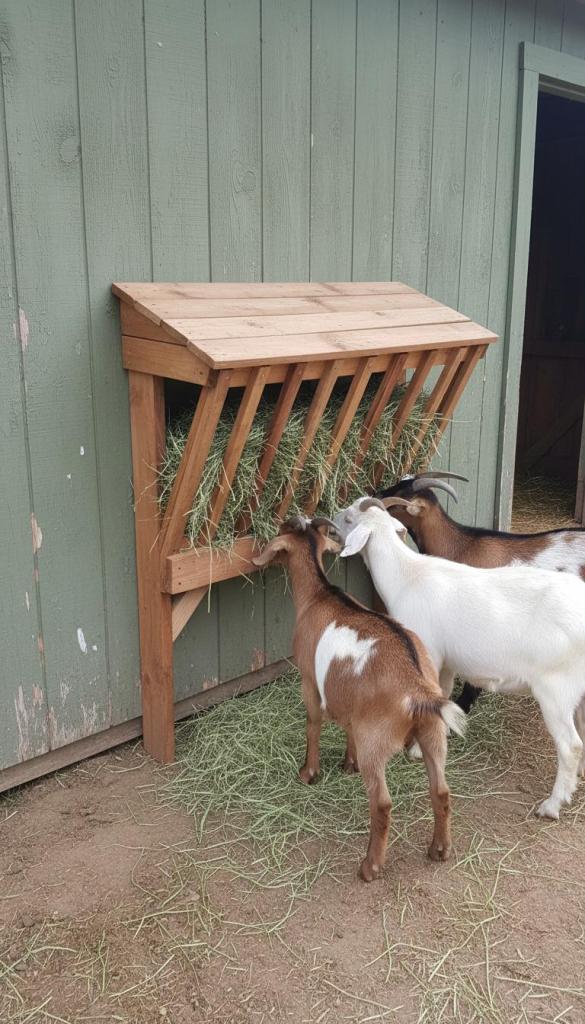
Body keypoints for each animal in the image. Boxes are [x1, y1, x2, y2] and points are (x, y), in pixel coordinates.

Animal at [252, 515, 467, 882]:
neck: (318, 596)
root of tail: (417, 689)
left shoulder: (309, 681)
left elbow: (313, 723)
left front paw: (308, 773)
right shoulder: (353, 705)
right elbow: (347, 727)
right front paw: (347, 764)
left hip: (376, 741)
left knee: (382, 803)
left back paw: (371, 866)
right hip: (434, 734)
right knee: (441, 791)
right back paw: (439, 849)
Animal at [333, 496, 585, 821]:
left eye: (349, 519)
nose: (327, 520)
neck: (406, 576)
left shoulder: (428, 651)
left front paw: (416, 750)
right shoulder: (446, 663)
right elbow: (443, 694)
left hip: (556, 688)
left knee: (570, 745)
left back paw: (552, 805)